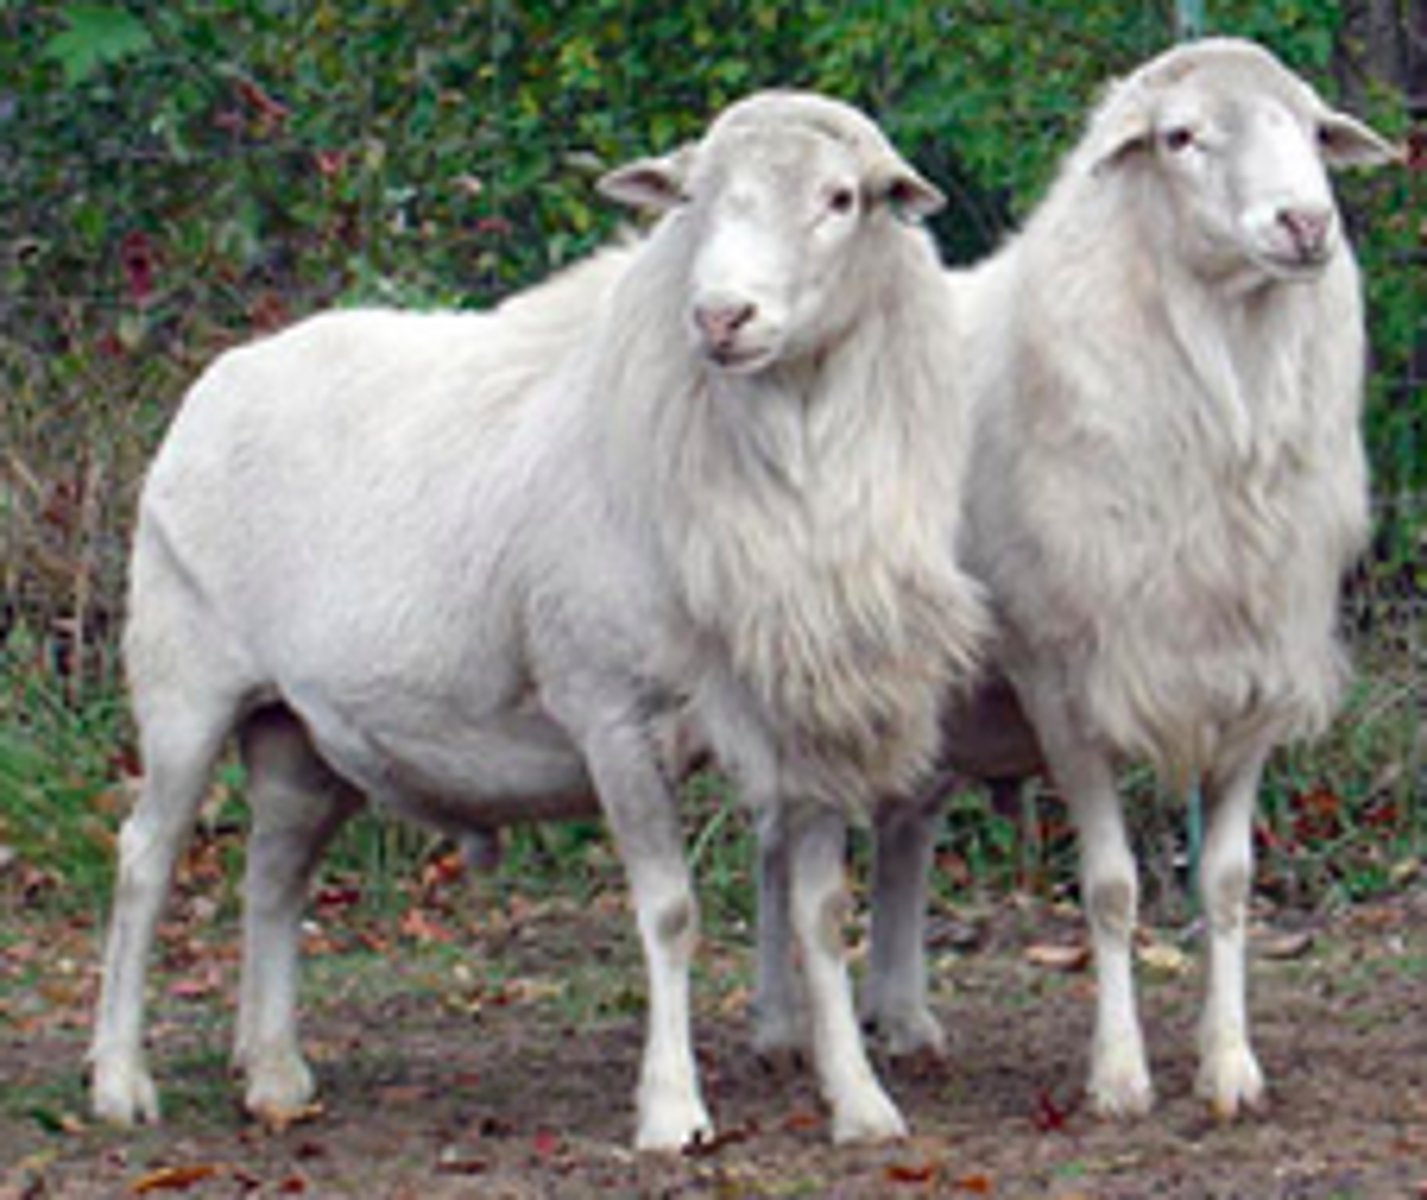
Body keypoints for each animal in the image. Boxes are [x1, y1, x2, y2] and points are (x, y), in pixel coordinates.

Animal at [88, 89, 988, 1150]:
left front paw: (859, 1101)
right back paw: (119, 1081)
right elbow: (669, 911)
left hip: (298, 731)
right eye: (691, 198)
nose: (720, 317)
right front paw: (672, 1111)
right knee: (145, 862)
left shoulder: (798, 716)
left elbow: (819, 917)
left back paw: (273, 1075)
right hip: (185, 688)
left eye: (842, 198)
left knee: (273, 876)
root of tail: (221, 376)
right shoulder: (610, 712)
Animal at [778, 38, 1399, 1116]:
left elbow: (1226, 883)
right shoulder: (1064, 684)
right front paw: (1117, 1075)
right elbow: (1110, 889)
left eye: (1312, 128)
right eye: (1179, 137)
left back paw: (901, 1018)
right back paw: (786, 1029)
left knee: (904, 834)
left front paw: (1228, 1066)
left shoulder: (1251, 678)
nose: (1305, 224)